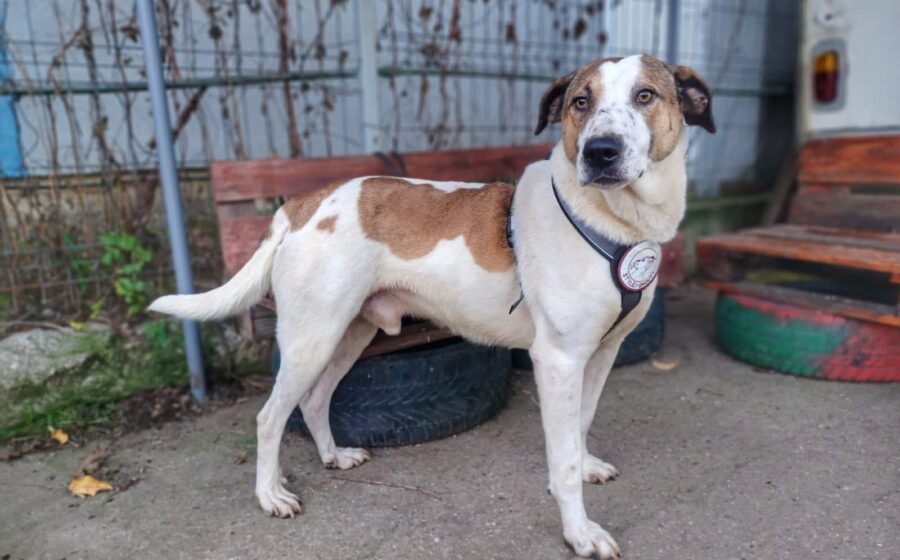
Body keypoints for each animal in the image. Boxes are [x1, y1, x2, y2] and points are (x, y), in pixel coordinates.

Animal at [150, 54, 714, 558]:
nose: (599, 152)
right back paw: (270, 495)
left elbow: (579, 426)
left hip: (350, 332)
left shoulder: (601, 353)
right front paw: (579, 533)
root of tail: (302, 203)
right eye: (581, 102)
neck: (611, 223)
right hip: (312, 337)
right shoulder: (557, 360)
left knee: (313, 401)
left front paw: (584, 467)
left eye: (646, 96)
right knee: (270, 417)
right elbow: (564, 461)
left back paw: (334, 456)